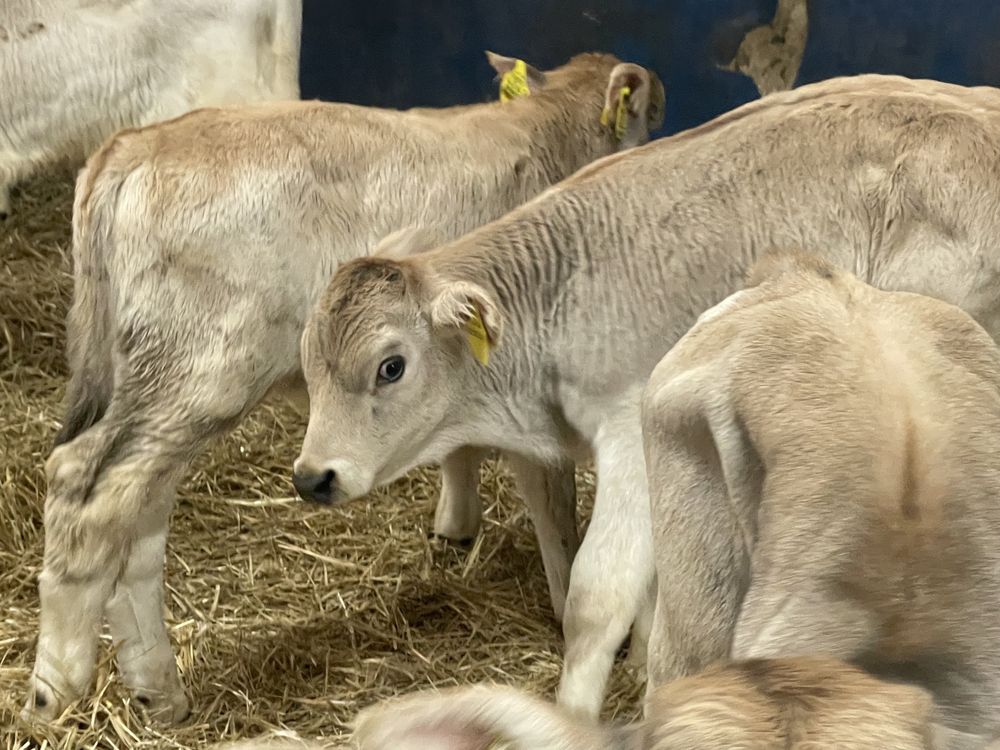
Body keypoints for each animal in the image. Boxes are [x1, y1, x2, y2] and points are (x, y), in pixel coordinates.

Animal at [25, 51, 664, 724]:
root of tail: (132, 144)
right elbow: (554, 503)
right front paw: (573, 607)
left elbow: (461, 449)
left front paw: (456, 523)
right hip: (201, 370)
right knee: (85, 488)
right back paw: (56, 685)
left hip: (156, 381)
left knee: (136, 519)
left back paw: (159, 690)